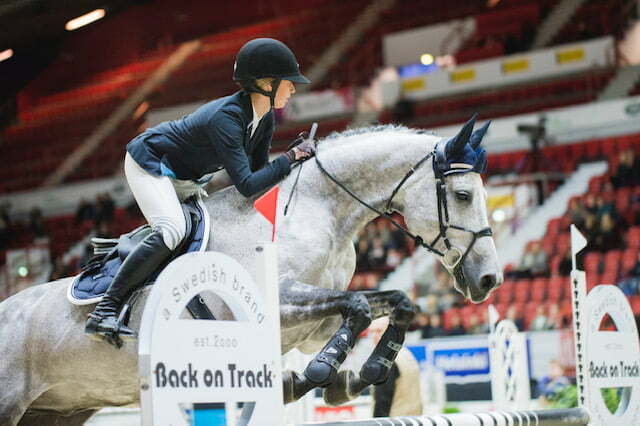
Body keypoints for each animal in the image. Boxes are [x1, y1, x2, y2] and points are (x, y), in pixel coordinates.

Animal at [0, 117, 502, 425]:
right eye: (462, 195)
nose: (489, 280)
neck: (321, 210)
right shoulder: (274, 306)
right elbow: (358, 306)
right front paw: (319, 374)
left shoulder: (315, 325)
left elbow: (393, 304)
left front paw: (357, 374)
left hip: (58, 410)